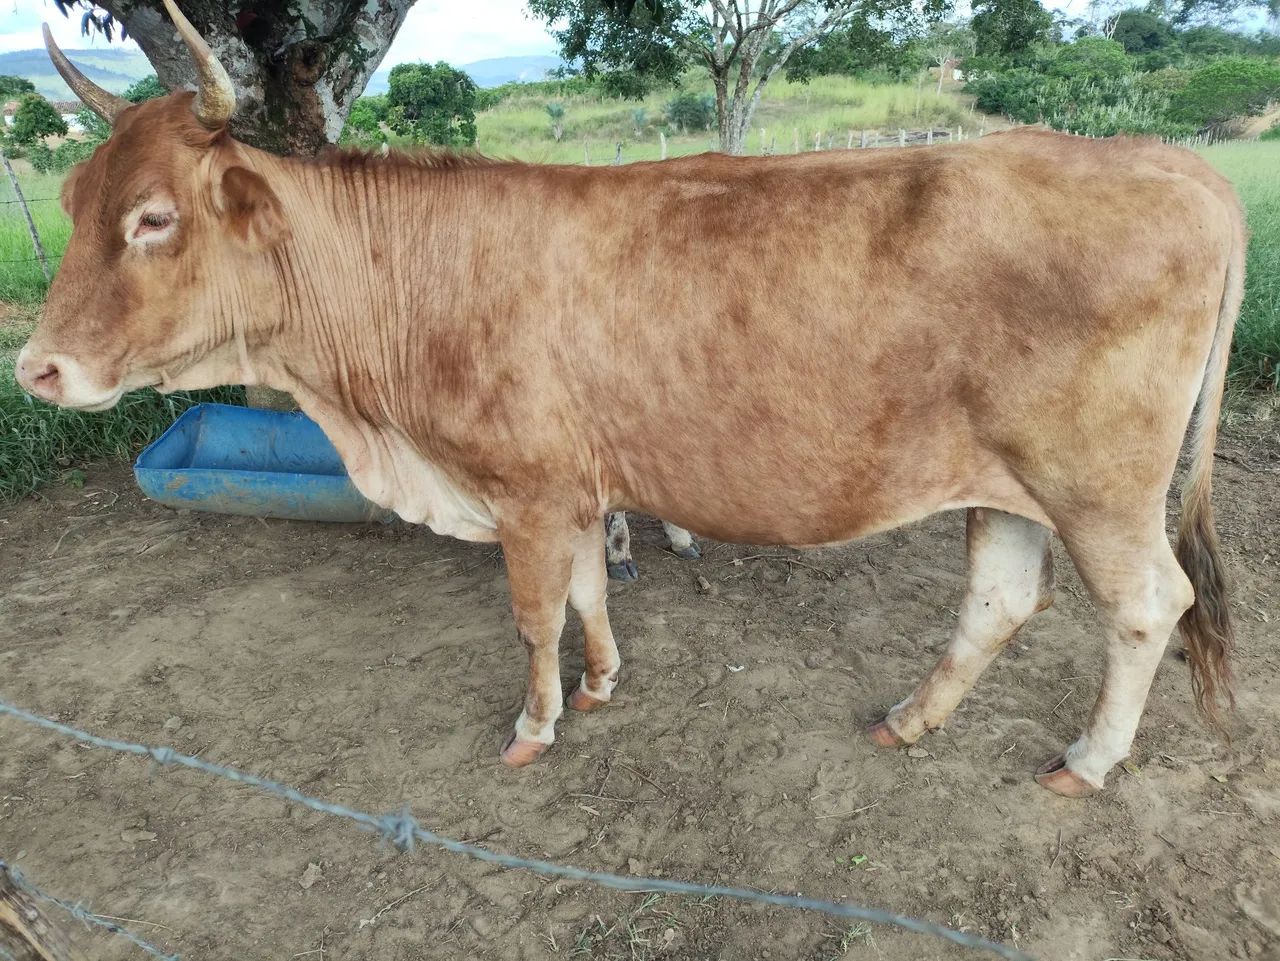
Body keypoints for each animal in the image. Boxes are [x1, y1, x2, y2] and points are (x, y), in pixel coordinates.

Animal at [19, 0, 1244, 797]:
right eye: (74, 199)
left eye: (154, 216)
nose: (36, 367)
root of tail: (1174, 163)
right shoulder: (572, 485)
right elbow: (586, 595)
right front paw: (602, 683)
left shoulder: (522, 486)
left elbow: (532, 613)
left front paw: (535, 723)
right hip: (1006, 481)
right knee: (998, 600)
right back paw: (908, 720)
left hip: (1099, 488)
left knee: (1149, 605)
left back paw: (1086, 762)